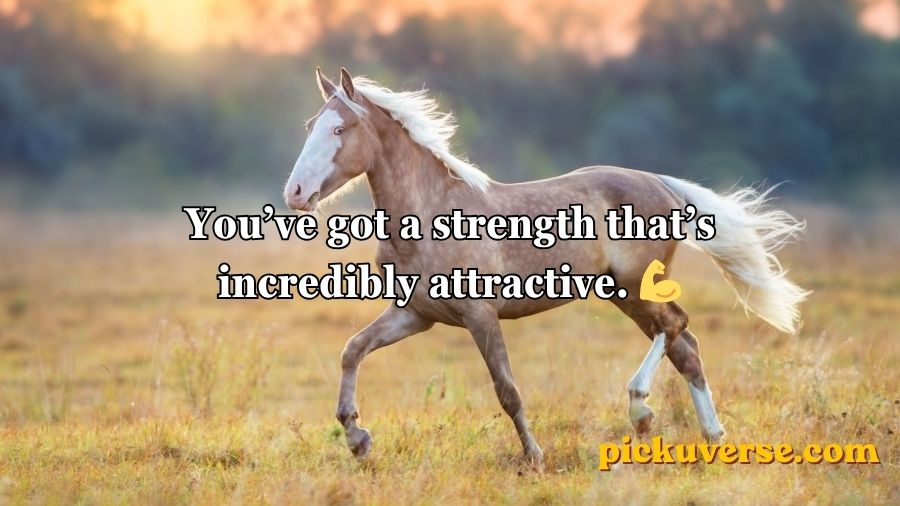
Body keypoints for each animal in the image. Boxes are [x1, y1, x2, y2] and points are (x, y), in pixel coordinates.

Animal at [283, 67, 808, 471]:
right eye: (308, 125)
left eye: (339, 130)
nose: (295, 193)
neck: (430, 212)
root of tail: (664, 184)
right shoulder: (416, 315)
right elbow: (352, 350)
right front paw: (358, 439)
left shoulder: (480, 316)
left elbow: (507, 390)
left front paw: (534, 457)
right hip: (626, 295)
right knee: (688, 349)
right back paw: (713, 437)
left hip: (636, 287)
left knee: (677, 327)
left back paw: (640, 408)